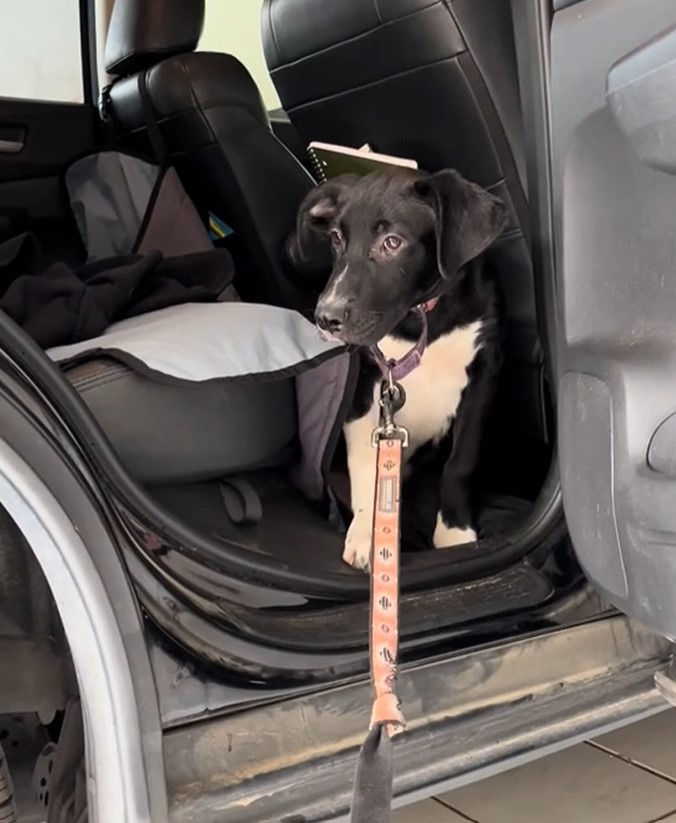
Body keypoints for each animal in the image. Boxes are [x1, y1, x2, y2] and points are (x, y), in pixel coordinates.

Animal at [286, 168, 508, 572]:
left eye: (393, 242)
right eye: (337, 238)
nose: (326, 318)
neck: (422, 317)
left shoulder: (483, 375)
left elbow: (461, 462)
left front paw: (454, 532)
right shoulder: (364, 394)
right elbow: (366, 469)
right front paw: (369, 535)